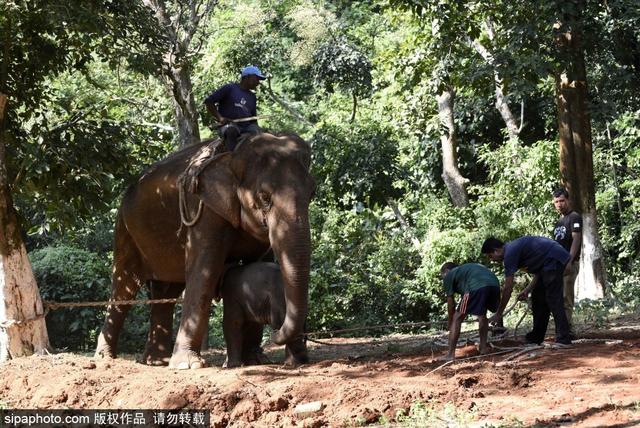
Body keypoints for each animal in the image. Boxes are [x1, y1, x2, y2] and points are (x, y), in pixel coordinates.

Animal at [94, 133, 314, 369]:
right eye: (264, 197)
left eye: (313, 194)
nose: (274, 335)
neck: (234, 153)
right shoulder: (203, 209)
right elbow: (204, 271)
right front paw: (188, 365)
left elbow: (256, 265)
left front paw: (254, 360)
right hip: (124, 229)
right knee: (124, 288)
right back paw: (105, 358)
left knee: (166, 292)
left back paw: (156, 362)